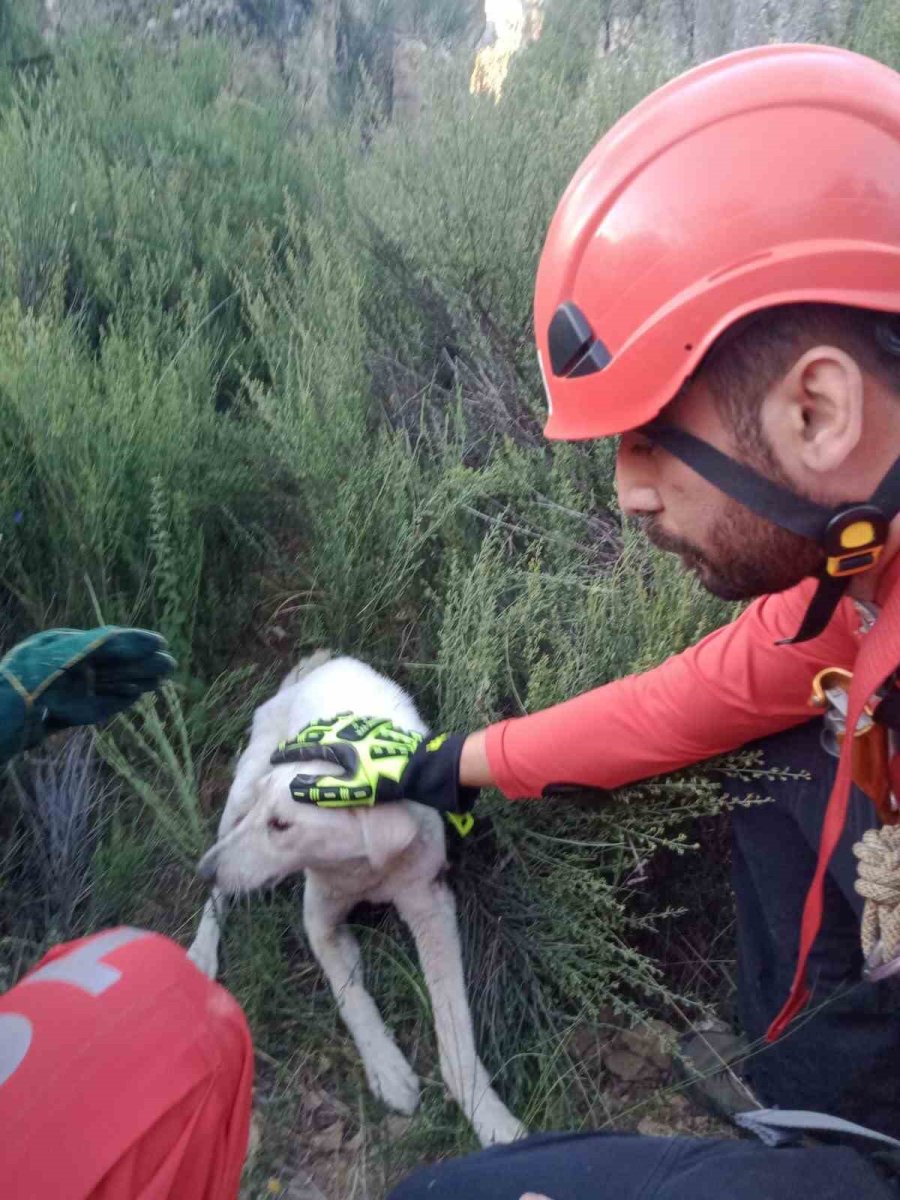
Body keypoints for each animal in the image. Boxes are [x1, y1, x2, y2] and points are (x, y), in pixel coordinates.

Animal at [190, 652, 528, 1147]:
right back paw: (201, 950)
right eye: (266, 818)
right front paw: (387, 1068)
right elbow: (351, 997)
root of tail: (319, 665)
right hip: (240, 791)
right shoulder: (319, 922)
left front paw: (490, 1116)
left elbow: (455, 1028)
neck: (365, 868)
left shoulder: (432, 910)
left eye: (282, 824)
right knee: (219, 892)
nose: (203, 870)